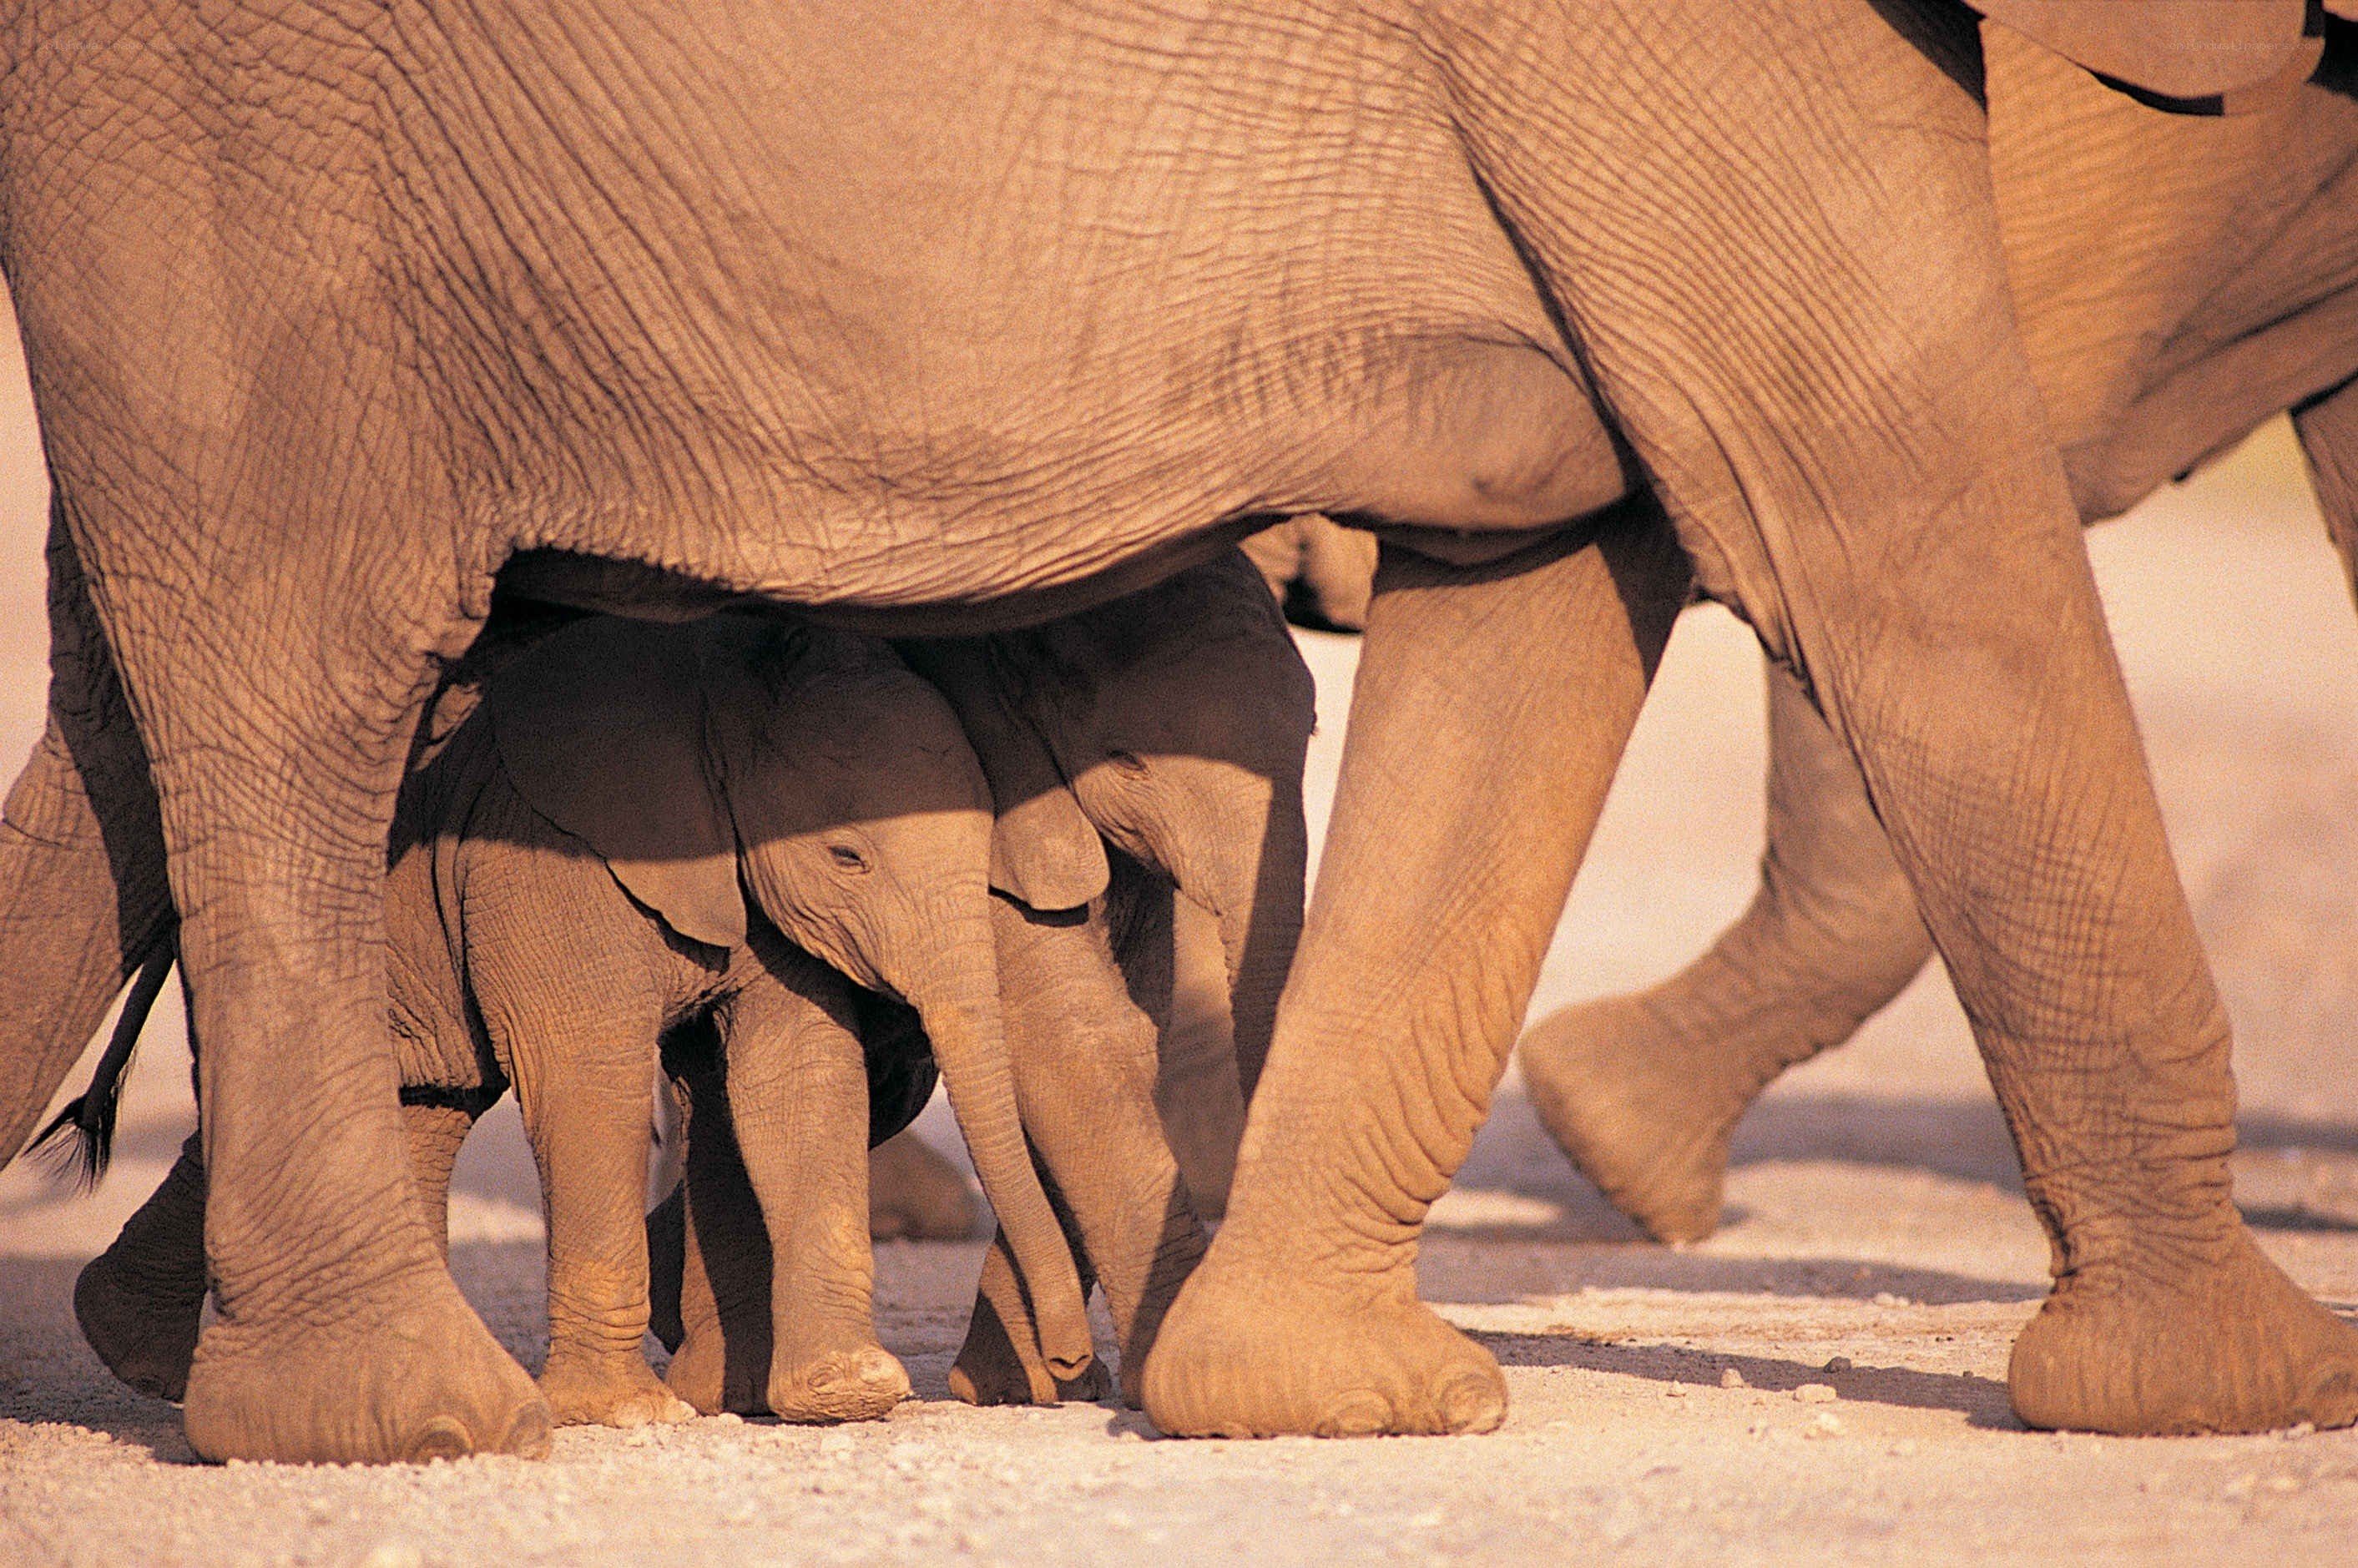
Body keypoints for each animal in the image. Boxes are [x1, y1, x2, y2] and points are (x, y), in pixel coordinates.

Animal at [63, 609, 1087, 1427]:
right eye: (846, 857)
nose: (1069, 1360)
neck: (715, 706)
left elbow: (794, 1079)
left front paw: (843, 1392)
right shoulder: (547, 859)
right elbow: (590, 1078)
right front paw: (629, 1413)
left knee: (423, 1106)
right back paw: (139, 1354)